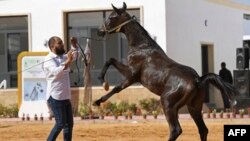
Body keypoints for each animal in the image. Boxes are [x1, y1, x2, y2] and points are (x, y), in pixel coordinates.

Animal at [93, 2, 236, 141]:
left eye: (111, 17)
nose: (99, 31)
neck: (142, 47)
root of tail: (198, 80)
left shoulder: (132, 75)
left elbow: (116, 85)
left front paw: (99, 97)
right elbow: (110, 61)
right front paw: (102, 83)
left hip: (168, 104)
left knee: (176, 130)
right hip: (193, 107)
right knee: (202, 130)